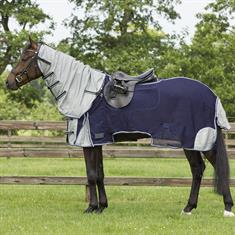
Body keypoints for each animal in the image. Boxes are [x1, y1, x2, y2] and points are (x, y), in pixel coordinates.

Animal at [5, 38, 233, 217]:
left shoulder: (89, 140)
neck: (85, 93)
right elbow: (100, 173)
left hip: (197, 139)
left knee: (215, 167)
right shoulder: (97, 141)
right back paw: (188, 208)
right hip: (190, 142)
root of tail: (211, 95)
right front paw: (102, 206)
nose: (8, 82)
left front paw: (91, 208)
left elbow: (91, 174)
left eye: (25, 58)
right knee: (198, 169)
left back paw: (227, 208)